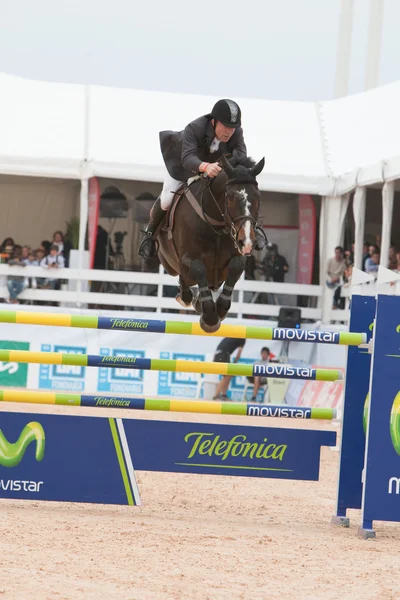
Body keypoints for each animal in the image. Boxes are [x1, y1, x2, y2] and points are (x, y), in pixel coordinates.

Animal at [156, 155, 266, 332]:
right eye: (230, 197)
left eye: (258, 198)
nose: (247, 242)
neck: (217, 225)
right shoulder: (188, 257)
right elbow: (198, 269)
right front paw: (209, 318)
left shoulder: (237, 255)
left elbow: (235, 267)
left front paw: (220, 309)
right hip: (168, 263)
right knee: (184, 280)